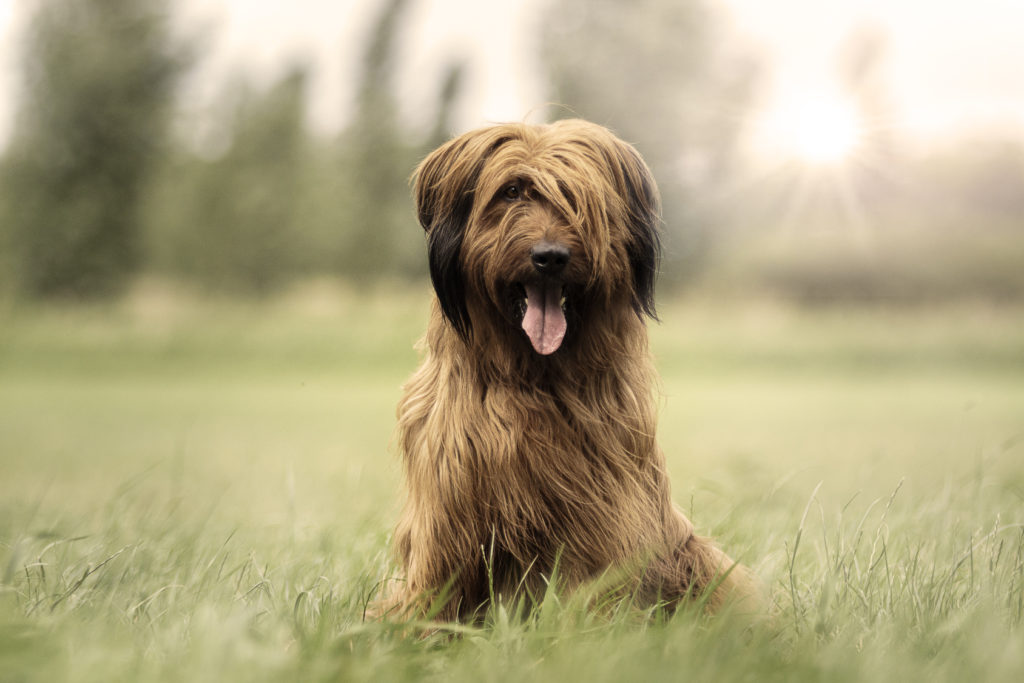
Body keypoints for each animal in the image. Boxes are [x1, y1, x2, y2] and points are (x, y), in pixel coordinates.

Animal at [387, 118, 757, 626]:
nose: (550, 256)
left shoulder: (598, 502)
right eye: (512, 191)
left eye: (577, 197)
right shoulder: (450, 501)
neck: (533, 377)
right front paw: (421, 629)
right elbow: (440, 578)